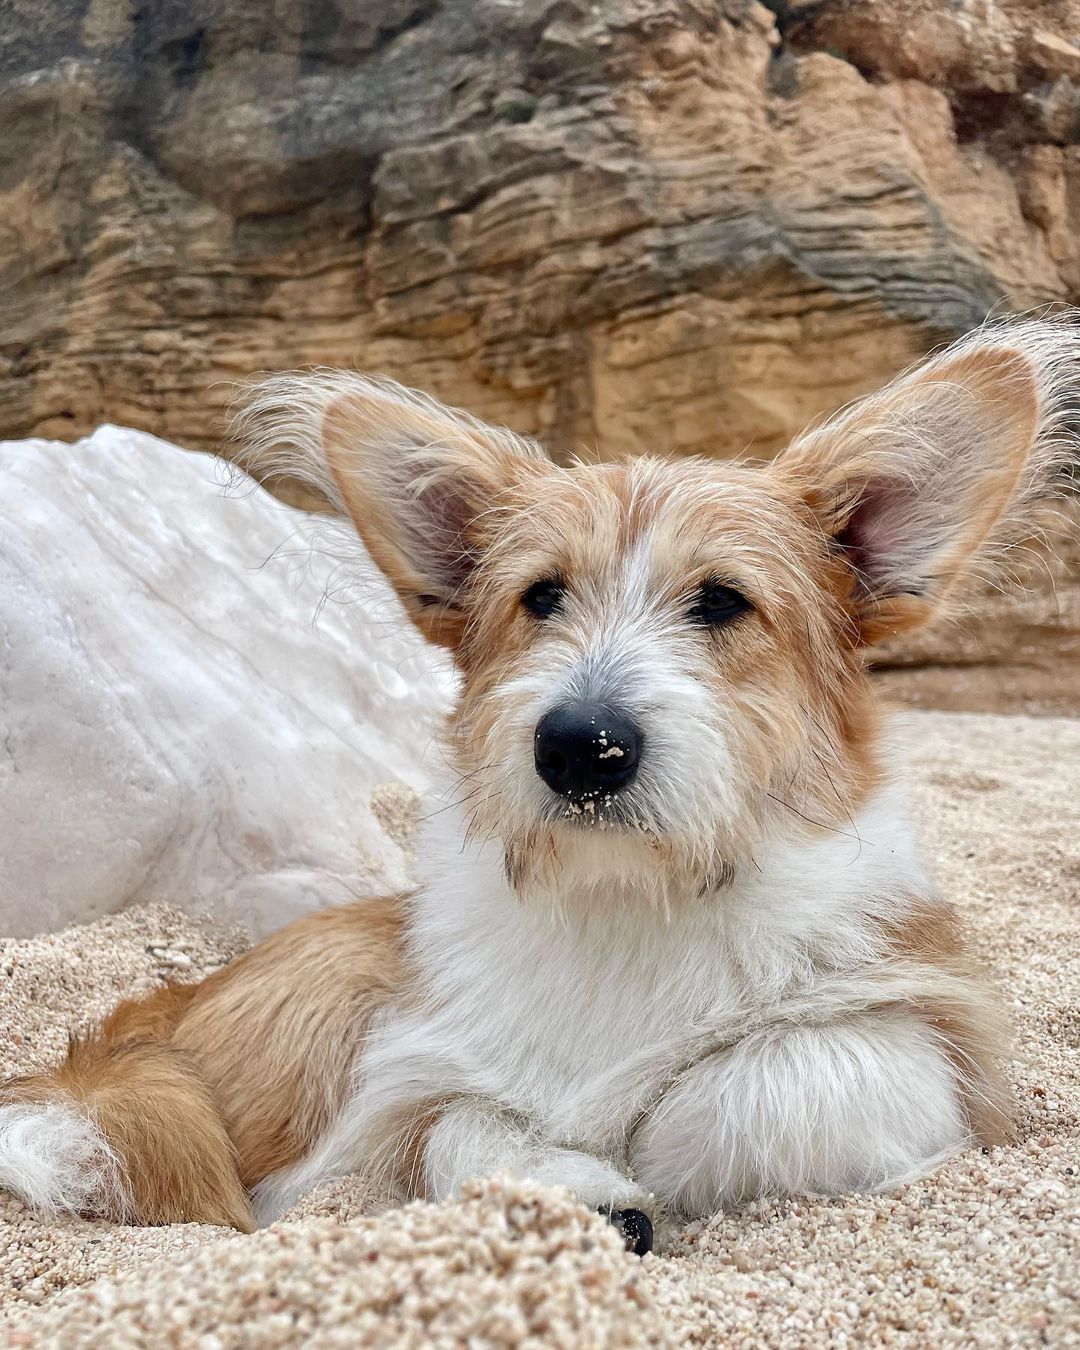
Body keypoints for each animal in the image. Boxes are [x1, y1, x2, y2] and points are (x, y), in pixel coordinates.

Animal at [0, 315, 1069, 1252]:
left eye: (723, 601)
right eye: (541, 596)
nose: (580, 746)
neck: (629, 900)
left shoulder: (940, 1050)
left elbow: (764, 1083)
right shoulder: (409, 1058)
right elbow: (451, 1116)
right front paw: (568, 1179)